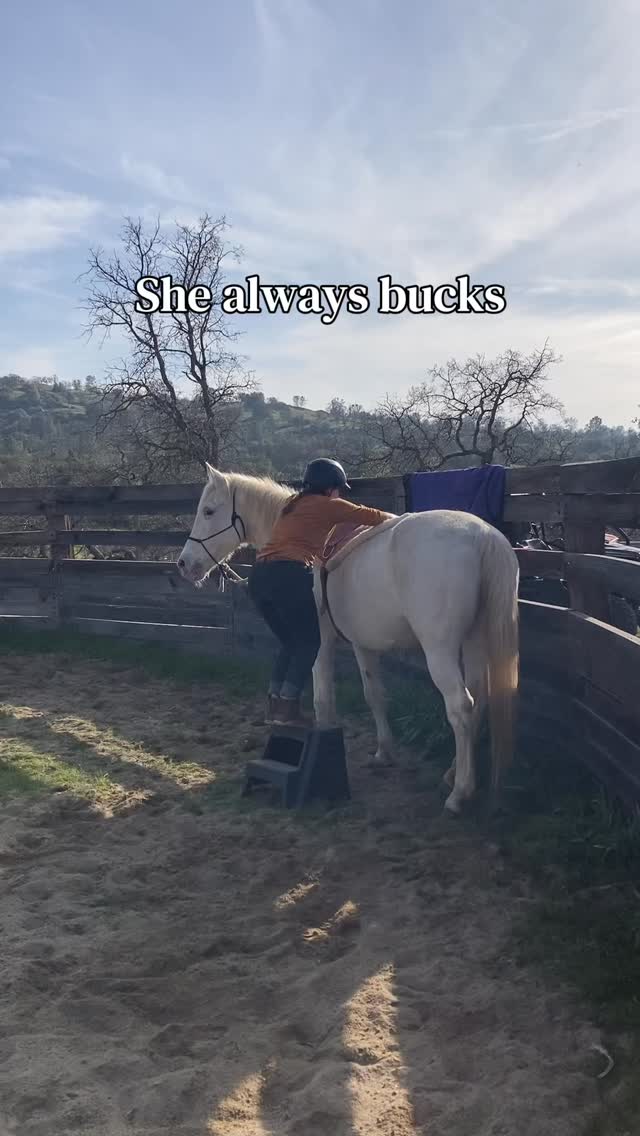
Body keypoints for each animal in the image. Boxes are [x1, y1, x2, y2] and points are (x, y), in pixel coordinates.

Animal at [177, 465, 520, 815]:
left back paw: (459, 793)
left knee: (461, 707)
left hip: (440, 650)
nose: (184, 564)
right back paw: (453, 774)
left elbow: (323, 697)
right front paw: (384, 752)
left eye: (208, 511)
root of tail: (483, 535)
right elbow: (374, 695)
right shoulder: (362, 644)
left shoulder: (319, 641)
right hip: (474, 642)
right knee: (479, 703)